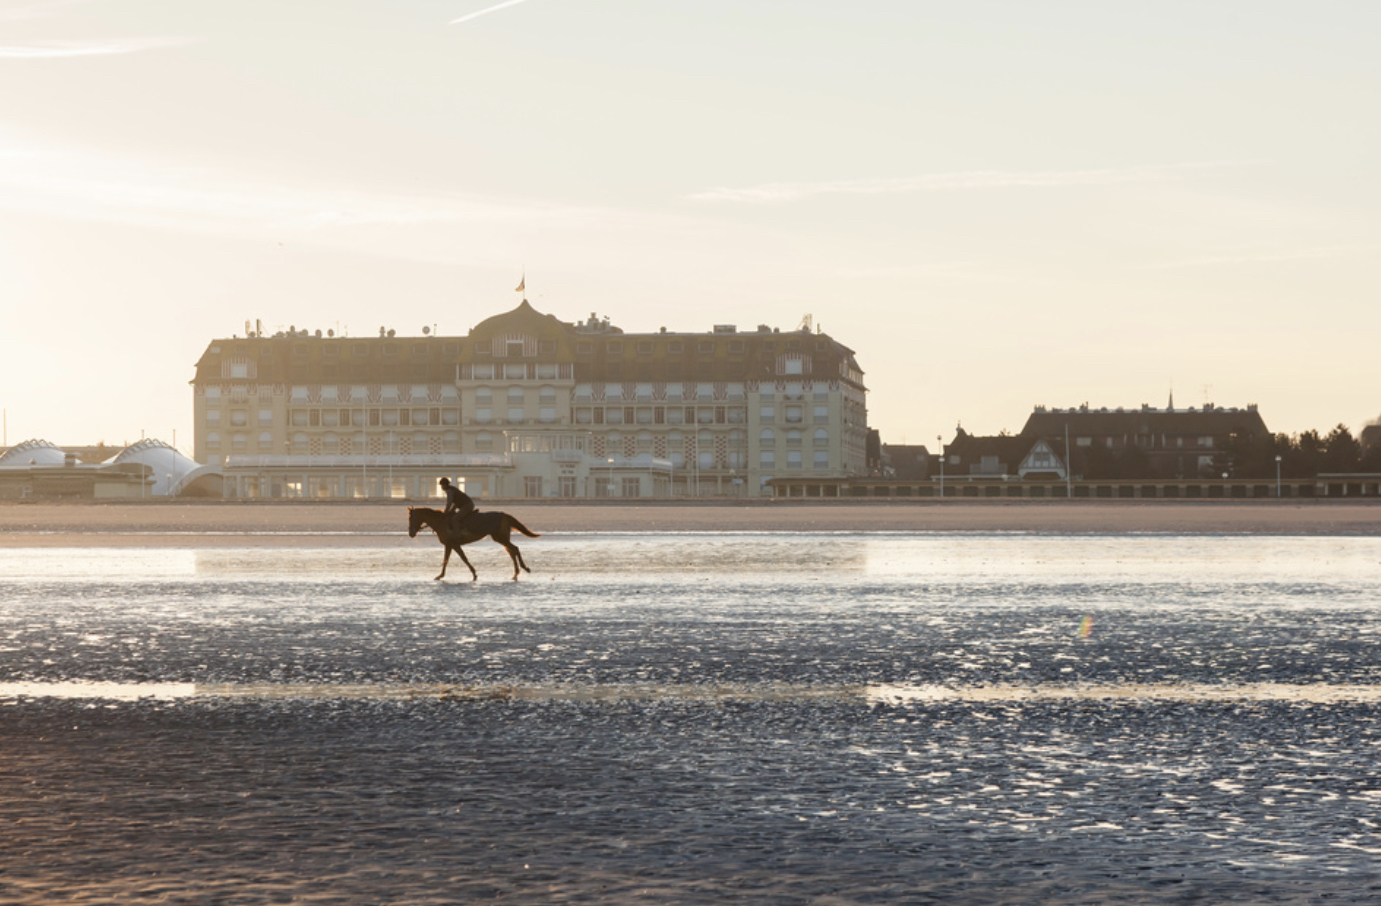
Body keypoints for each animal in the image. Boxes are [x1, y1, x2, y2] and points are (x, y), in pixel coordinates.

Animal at [403, 505, 538, 582]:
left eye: (411, 518)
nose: (411, 533)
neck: (441, 522)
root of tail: (504, 515)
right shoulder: (449, 545)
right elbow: (446, 560)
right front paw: (440, 575)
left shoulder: (453, 544)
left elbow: (463, 558)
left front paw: (474, 574)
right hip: (501, 538)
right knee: (511, 551)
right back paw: (516, 573)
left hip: (501, 538)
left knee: (515, 549)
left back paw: (524, 568)